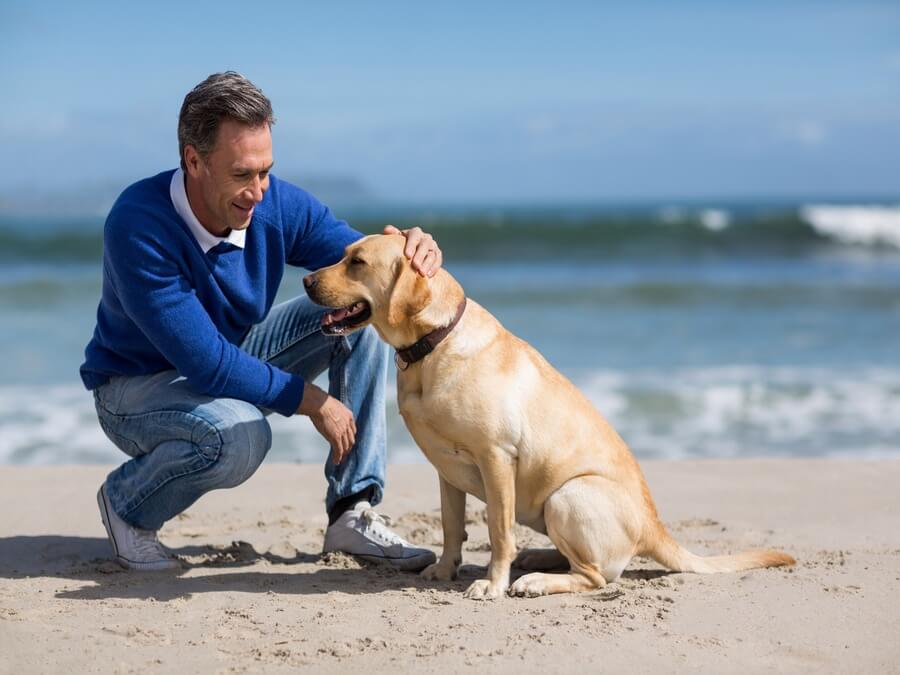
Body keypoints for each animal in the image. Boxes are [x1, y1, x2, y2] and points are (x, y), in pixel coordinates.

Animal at [304, 235, 796, 600]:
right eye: (343, 255)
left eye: (357, 262)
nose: (307, 279)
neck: (433, 343)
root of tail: (655, 529)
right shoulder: (446, 472)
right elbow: (451, 527)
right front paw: (445, 570)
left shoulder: (496, 457)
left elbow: (498, 532)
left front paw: (492, 584)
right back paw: (538, 560)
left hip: (568, 495)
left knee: (595, 576)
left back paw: (536, 581)